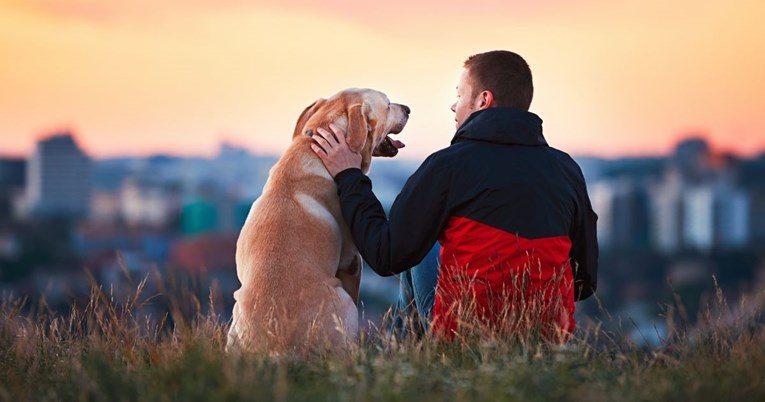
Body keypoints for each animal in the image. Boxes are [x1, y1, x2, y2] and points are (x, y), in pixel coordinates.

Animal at [227, 88, 408, 358]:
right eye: (387, 105)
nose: (408, 109)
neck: (313, 150)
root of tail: (277, 349)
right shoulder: (352, 261)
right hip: (343, 303)